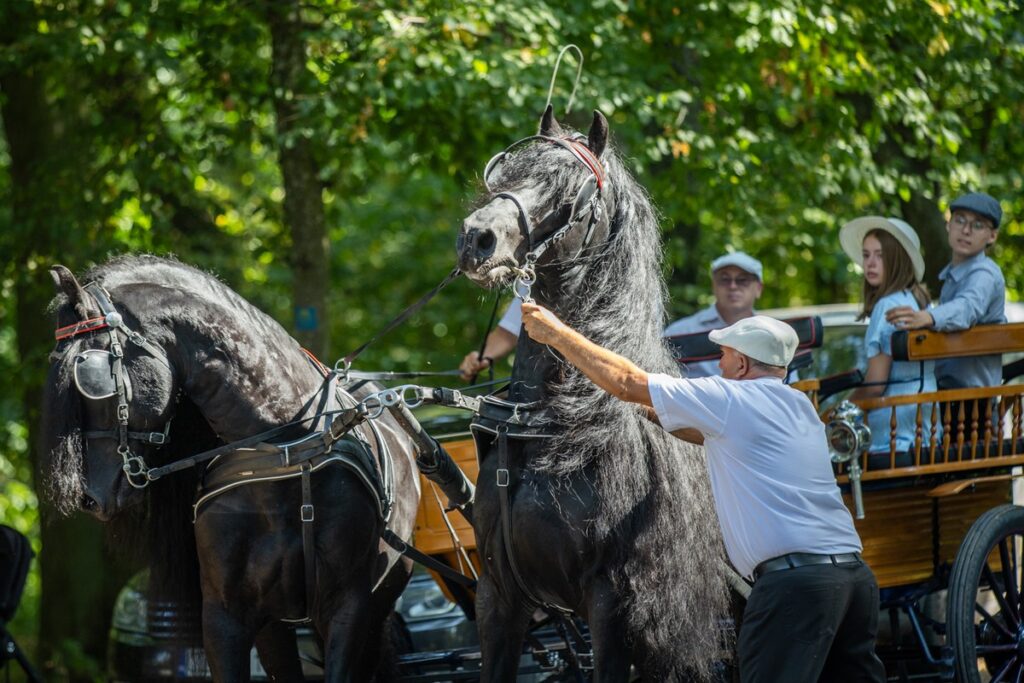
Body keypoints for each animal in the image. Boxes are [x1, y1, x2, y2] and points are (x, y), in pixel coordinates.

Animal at [458, 109, 737, 679]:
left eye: (568, 191)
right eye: (505, 174)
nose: (476, 238)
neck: (545, 426)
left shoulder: (613, 601)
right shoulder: (497, 597)